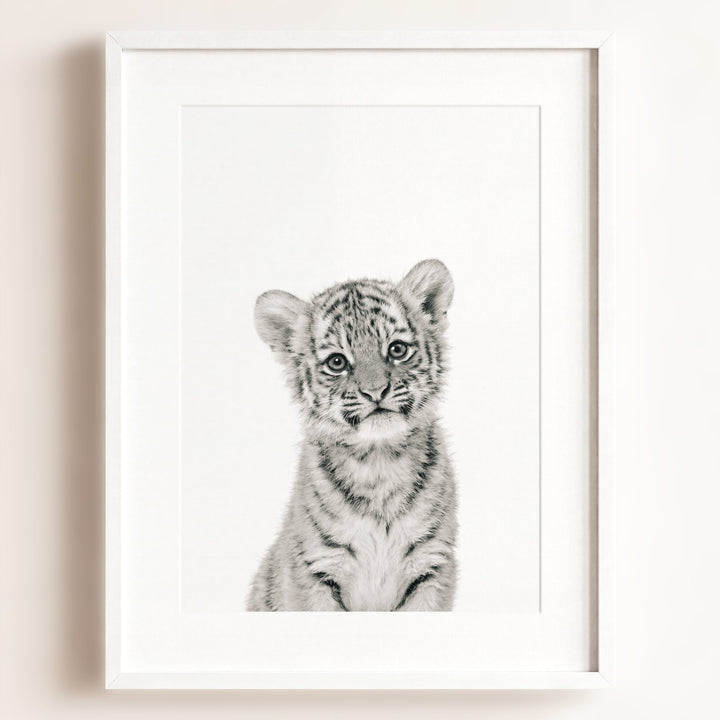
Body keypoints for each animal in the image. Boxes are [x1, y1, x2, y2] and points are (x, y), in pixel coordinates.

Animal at [247, 259, 457, 611]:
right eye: (337, 362)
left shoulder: (432, 566)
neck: (379, 462)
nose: (376, 391)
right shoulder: (315, 570)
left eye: (397, 349)